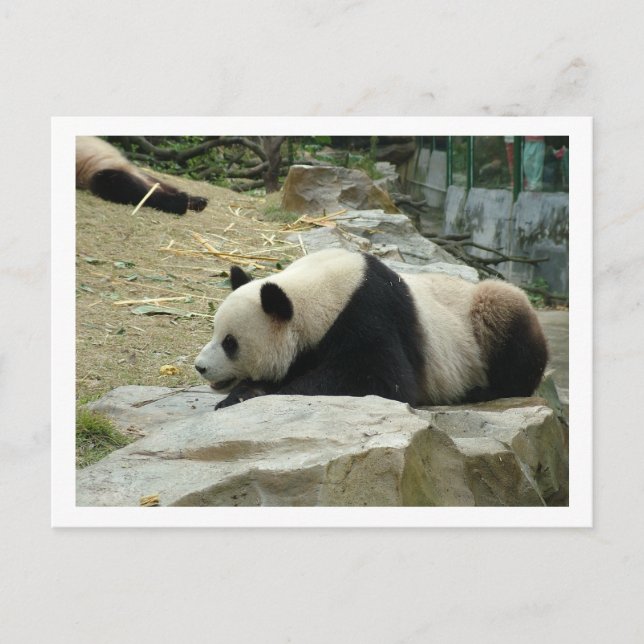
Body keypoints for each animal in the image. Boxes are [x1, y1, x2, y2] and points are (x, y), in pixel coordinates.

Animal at [194, 248, 548, 410]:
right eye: (214, 332)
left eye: (230, 342)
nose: (200, 367)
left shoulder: (369, 314)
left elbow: (380, 379)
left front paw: (251, 394)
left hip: (483, 316)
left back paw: (483, 391)